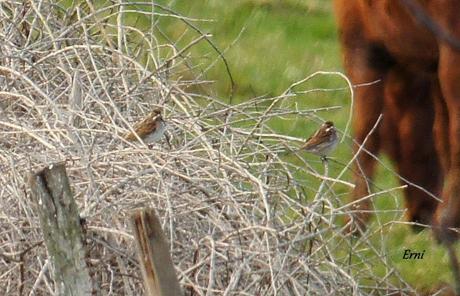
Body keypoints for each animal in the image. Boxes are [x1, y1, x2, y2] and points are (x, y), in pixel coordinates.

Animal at [334, 0, 460, 243]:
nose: (418, 218)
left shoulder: (362, 45)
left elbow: (366, 134)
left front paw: (354, 222)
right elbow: (442, 136)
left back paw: (447, 226)